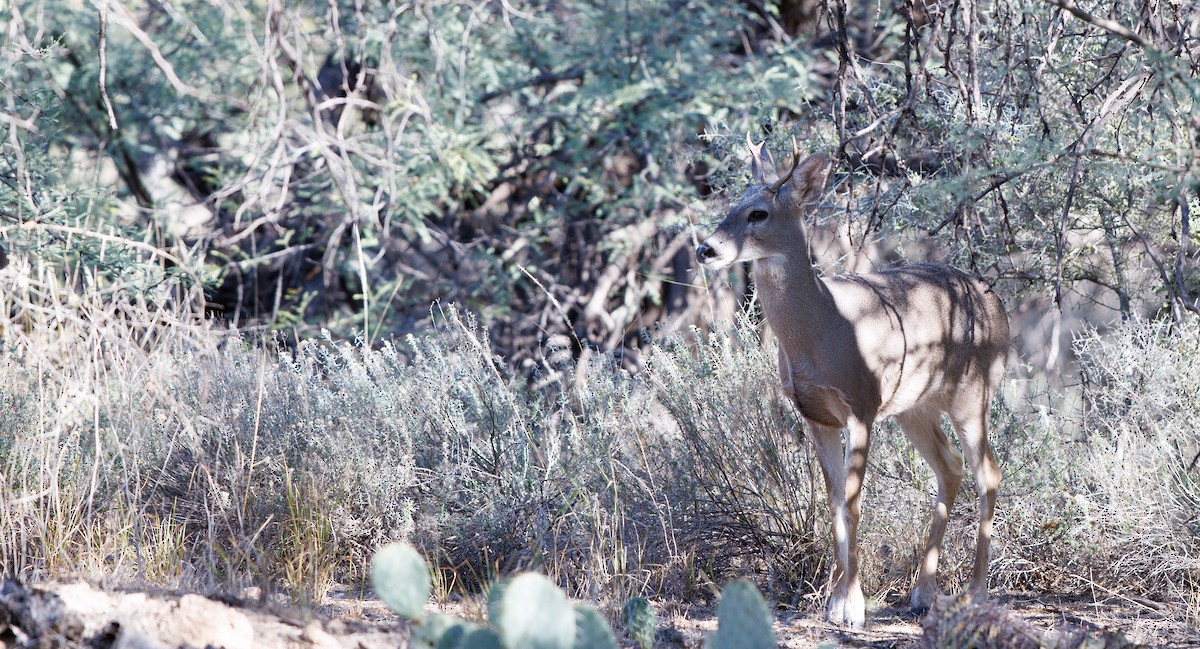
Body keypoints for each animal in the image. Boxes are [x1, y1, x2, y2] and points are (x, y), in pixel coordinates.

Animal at [695, 138, 1010, 628]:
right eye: (731, 206)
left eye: (759, 213)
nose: (704, 249)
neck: (824, 327)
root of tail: (1002, 311)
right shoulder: (816, 415)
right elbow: (834, 499)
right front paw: (835, 603)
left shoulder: (861, 404)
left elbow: (854, 499)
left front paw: (854, 608)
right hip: (914, 407)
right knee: (951, 466)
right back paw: (923, 593)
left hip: (972, 394)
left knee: (988, 472)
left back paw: (974, 595)